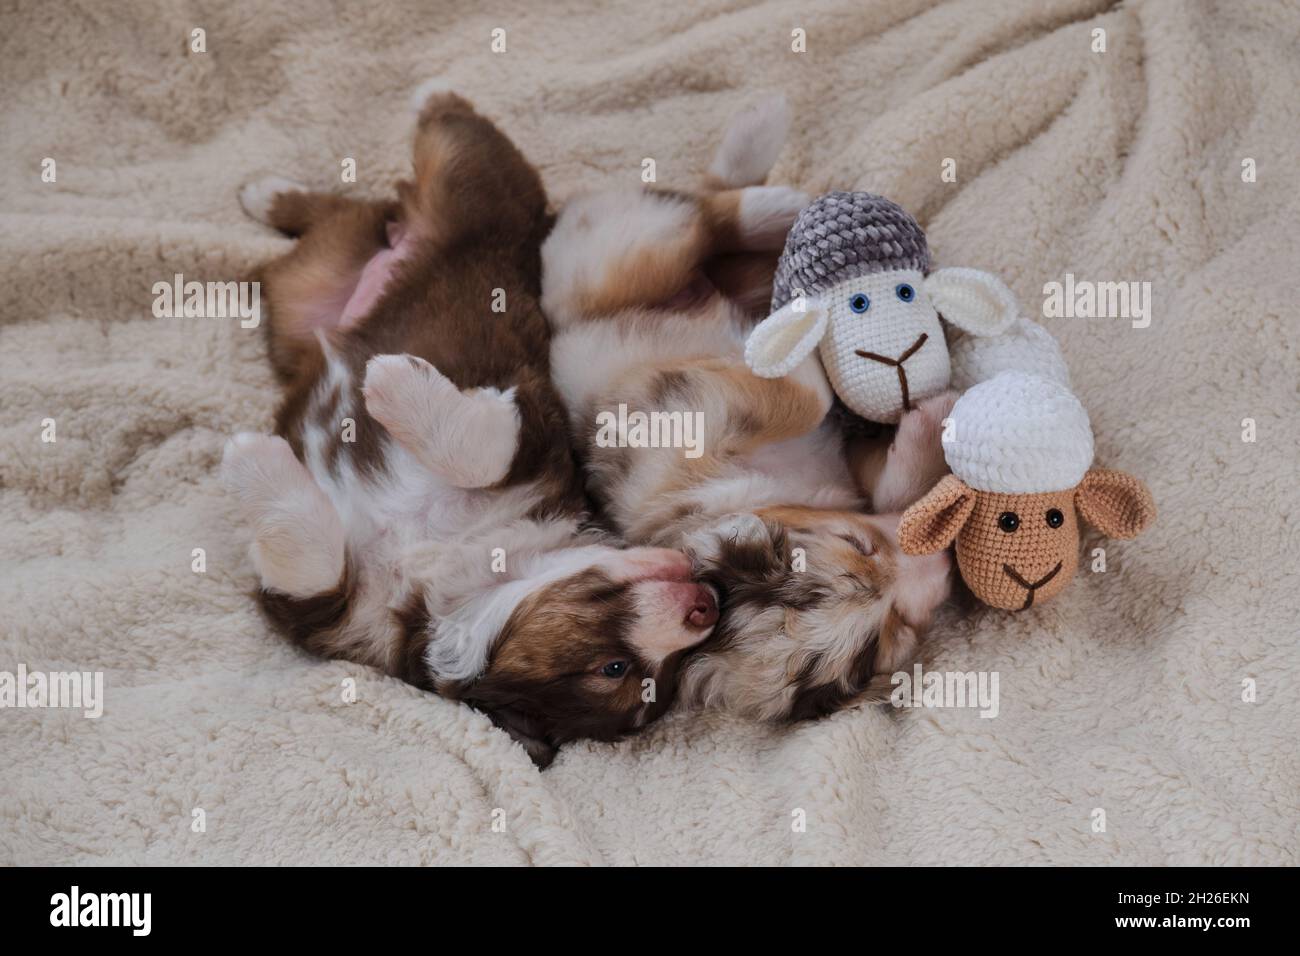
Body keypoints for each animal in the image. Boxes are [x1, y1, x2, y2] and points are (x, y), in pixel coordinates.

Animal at [220, 87, 722, 764]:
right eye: (612, 667)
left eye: (634, 675)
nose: (707, 606)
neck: (457, 562)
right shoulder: (536, 427)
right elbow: (483, 453)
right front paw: (391, 382)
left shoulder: (324, 622)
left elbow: (313, 562)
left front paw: (255, 456)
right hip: (477, 198)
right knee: (448, 148)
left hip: (299, 295)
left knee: (349, 214)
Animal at [543, 98, 951, 723]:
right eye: (896, 631)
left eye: (858, 541)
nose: (946, 571)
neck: (767, 490)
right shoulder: (702, 417)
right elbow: (809, 401)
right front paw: (930, 407)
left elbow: (883, 479)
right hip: (609, 265)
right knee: (695, 215)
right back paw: (774, 199)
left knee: (703, 206)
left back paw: (771, 178)